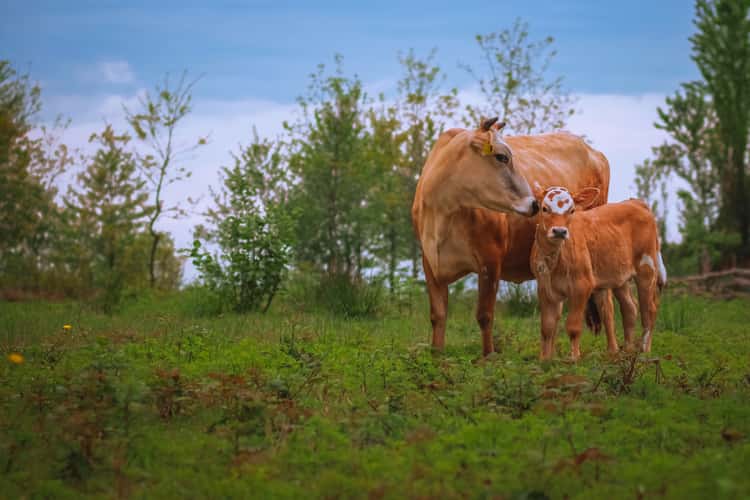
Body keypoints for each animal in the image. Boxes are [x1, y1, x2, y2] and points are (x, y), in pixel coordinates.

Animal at [412, 117, 619, 356]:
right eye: (502, 157)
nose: (534, 204)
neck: (443, 214)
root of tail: (592, 151)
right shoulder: (430, 262)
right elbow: (438, 315)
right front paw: (436, 354)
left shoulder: (490, 259)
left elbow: (485, 315)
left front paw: (488, 356)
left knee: (606, 304)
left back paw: (613, 351)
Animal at [530, 186, 666, 360]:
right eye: (544, 208)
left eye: (572, 210)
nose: (560, 231)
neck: (554, 260)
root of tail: (636, 202)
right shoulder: (544, 288)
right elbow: (547, 327)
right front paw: (545, 360)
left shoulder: (582, 286)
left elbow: (573, 326)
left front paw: (574, 358)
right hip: (619, 277)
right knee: (629, 308)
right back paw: (626, 351)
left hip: (647, 269)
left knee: (649, 310)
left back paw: (644, 350)